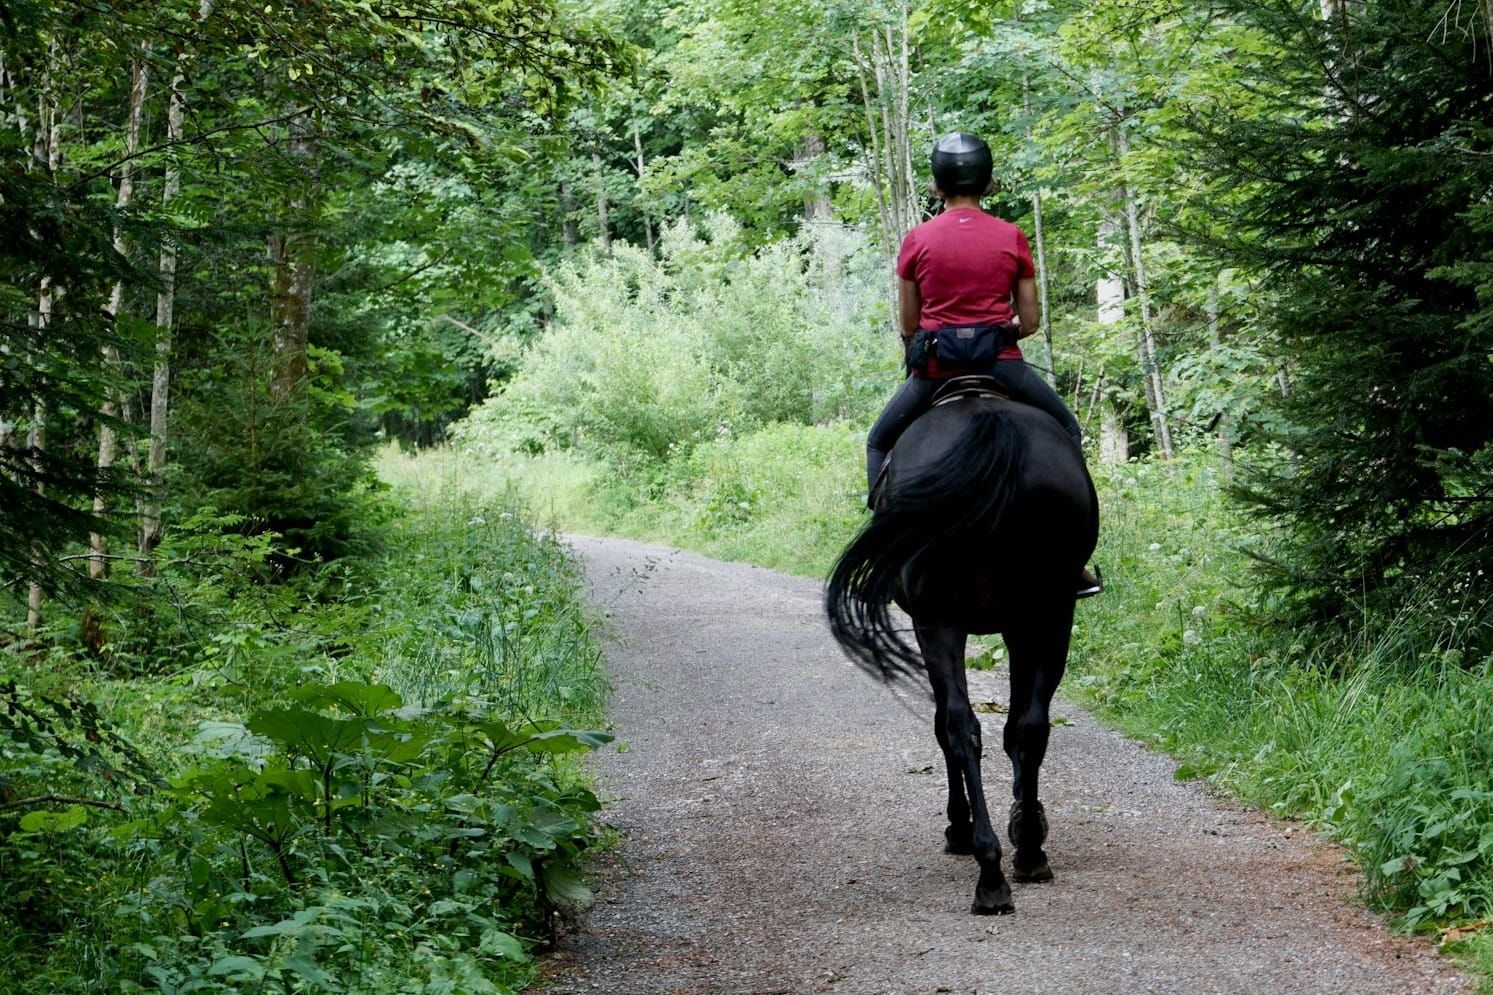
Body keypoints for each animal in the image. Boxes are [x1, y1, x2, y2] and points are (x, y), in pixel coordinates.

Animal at [825, 381, 1099, 915]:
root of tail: (993, 426)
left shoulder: (936, 623)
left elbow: (945, 724)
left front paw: (961, 825)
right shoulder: (1022, 625)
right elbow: (1017, 728)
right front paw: (1025, 817)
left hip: (941, 621)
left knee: (959, 727)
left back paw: (988, 868)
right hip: (1050, 613)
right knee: (1029, 726)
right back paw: (1027, 852)